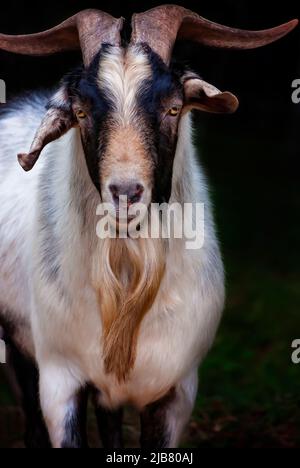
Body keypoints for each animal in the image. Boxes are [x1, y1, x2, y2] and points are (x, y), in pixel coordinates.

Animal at [0, 4, 296, 450]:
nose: (125, 192)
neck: (127, 271)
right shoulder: (59, 379)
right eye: (81, 112)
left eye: (173, 107)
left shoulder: (177, 390)